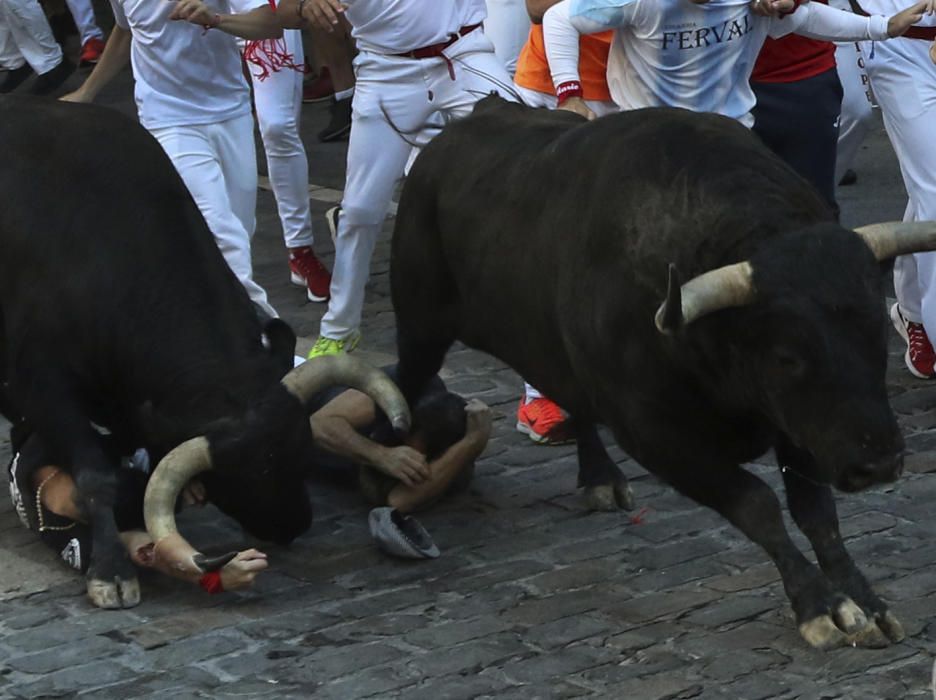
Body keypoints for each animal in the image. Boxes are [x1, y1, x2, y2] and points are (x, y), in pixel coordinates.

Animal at [390, 97, 936, 652]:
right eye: (787, 356)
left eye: (875, 328)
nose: (879, 463)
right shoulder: (657, 437)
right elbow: (757, 504)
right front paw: (820, 607)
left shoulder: (801, 424)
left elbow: (816, 513)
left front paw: (864, 602)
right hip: (420, 324)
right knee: (406, 384)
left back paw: (599, 478)